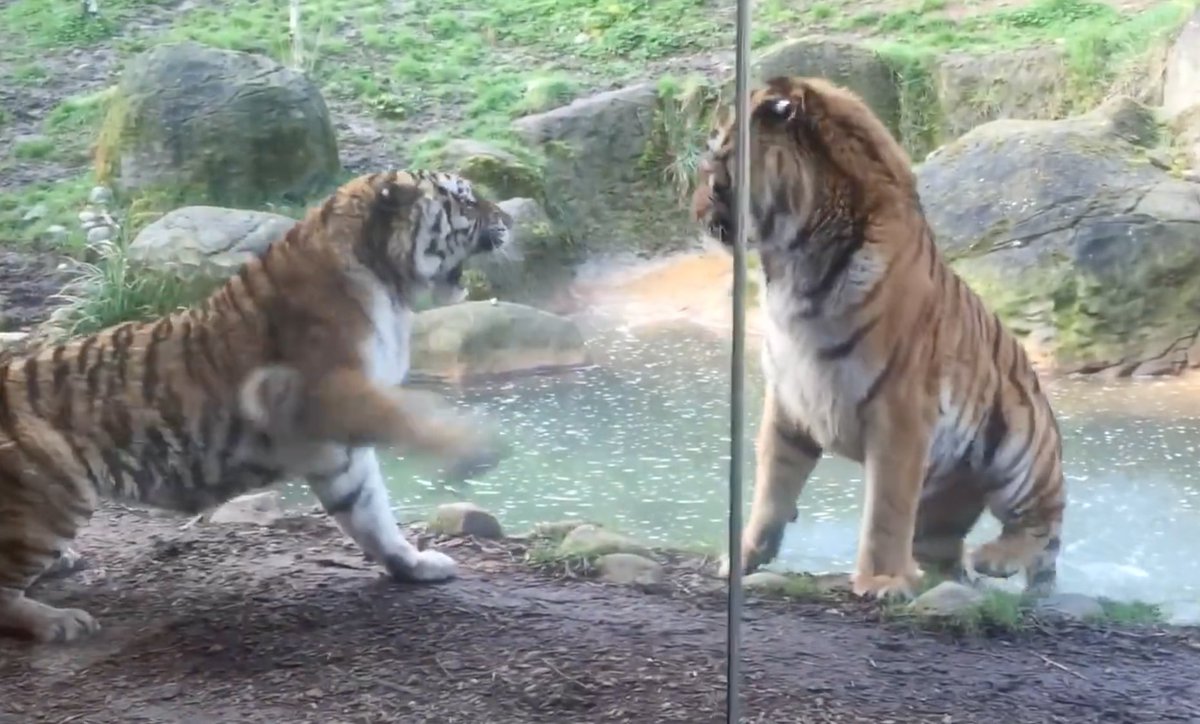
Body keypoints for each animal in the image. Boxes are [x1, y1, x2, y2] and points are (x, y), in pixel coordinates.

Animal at [0, 169, 514, 643]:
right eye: (466, 201)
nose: (510, 220)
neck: (388, 283)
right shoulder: (329, 393)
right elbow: (414, 419)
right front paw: (476, 447)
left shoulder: (336, 441)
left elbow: (370, 513)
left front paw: (413, 564)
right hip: (59, 492)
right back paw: (59, 621)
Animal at [693, 76, 1066, 600]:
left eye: (718, 163)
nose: (694, 211)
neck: (792, 264)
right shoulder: (789, 400)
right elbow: (770, 488)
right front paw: (744, 556)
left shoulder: (900, 408)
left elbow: (886, 507)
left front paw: (882, 580)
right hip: (945, 493)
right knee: (943, 550)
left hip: (1021, 448)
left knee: (1042, 526)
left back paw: (993, 559)